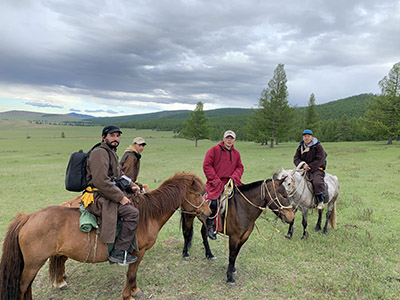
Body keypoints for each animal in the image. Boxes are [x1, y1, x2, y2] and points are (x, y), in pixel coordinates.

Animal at [0, 171, 211, 300]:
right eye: (198, 194)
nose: (209, 213)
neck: (148, 214)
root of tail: (28, 217)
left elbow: (133, 275)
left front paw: (135, 290)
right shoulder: (138, 252)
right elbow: (131, 274)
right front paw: (128, 294)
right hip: (32, 264)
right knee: (22, 286)